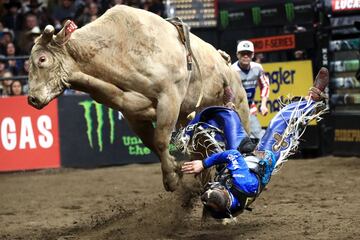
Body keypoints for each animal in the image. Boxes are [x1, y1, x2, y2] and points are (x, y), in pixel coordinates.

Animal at [28, 5, 249, 191]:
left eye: (42, 59)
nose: (32, 98)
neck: (118, 50)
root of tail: (226, 61)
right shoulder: (131, 113)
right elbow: (151, 142)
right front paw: (175, 168)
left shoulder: (169, 97)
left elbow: (160, 140)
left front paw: (171, 179)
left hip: (239, 104)